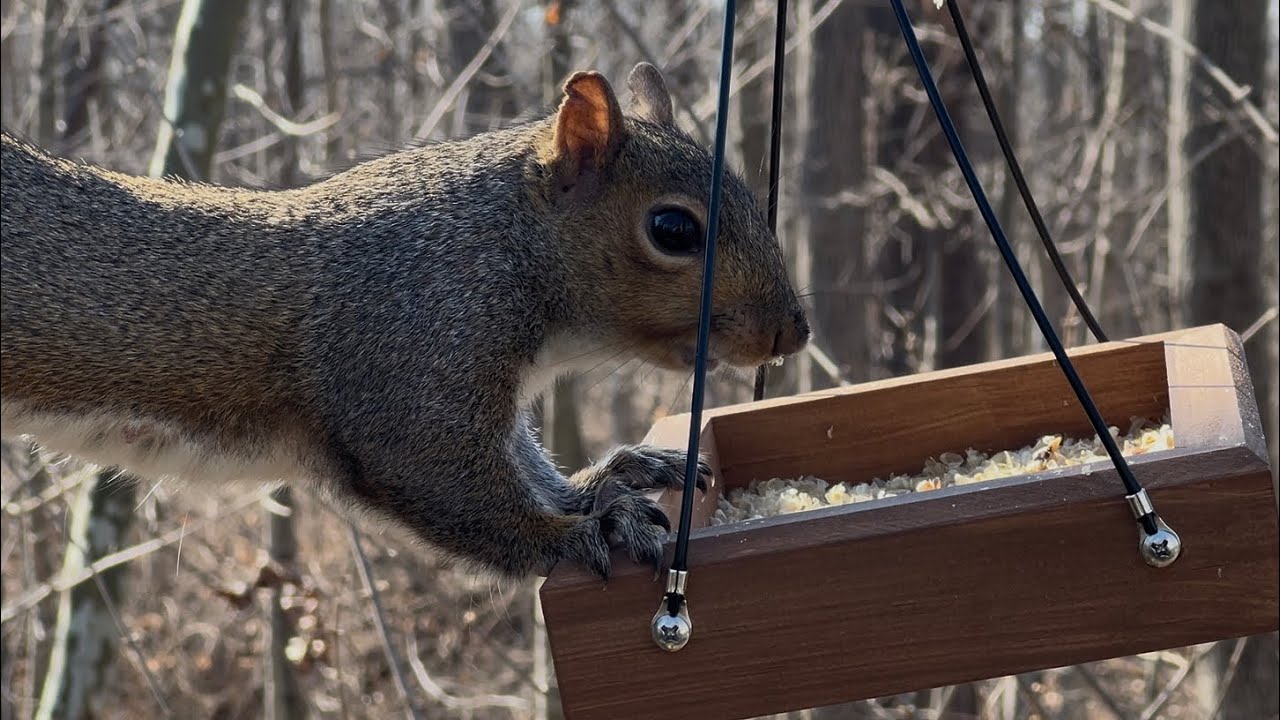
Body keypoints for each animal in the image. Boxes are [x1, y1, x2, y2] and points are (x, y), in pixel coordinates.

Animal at [0, 62, 809, 581]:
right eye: (673, 229)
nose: (793, 333)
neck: (506, 241)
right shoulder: (413, 355)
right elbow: (459, 490)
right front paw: (588, 527)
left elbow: (527, 465)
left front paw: (617, 475)